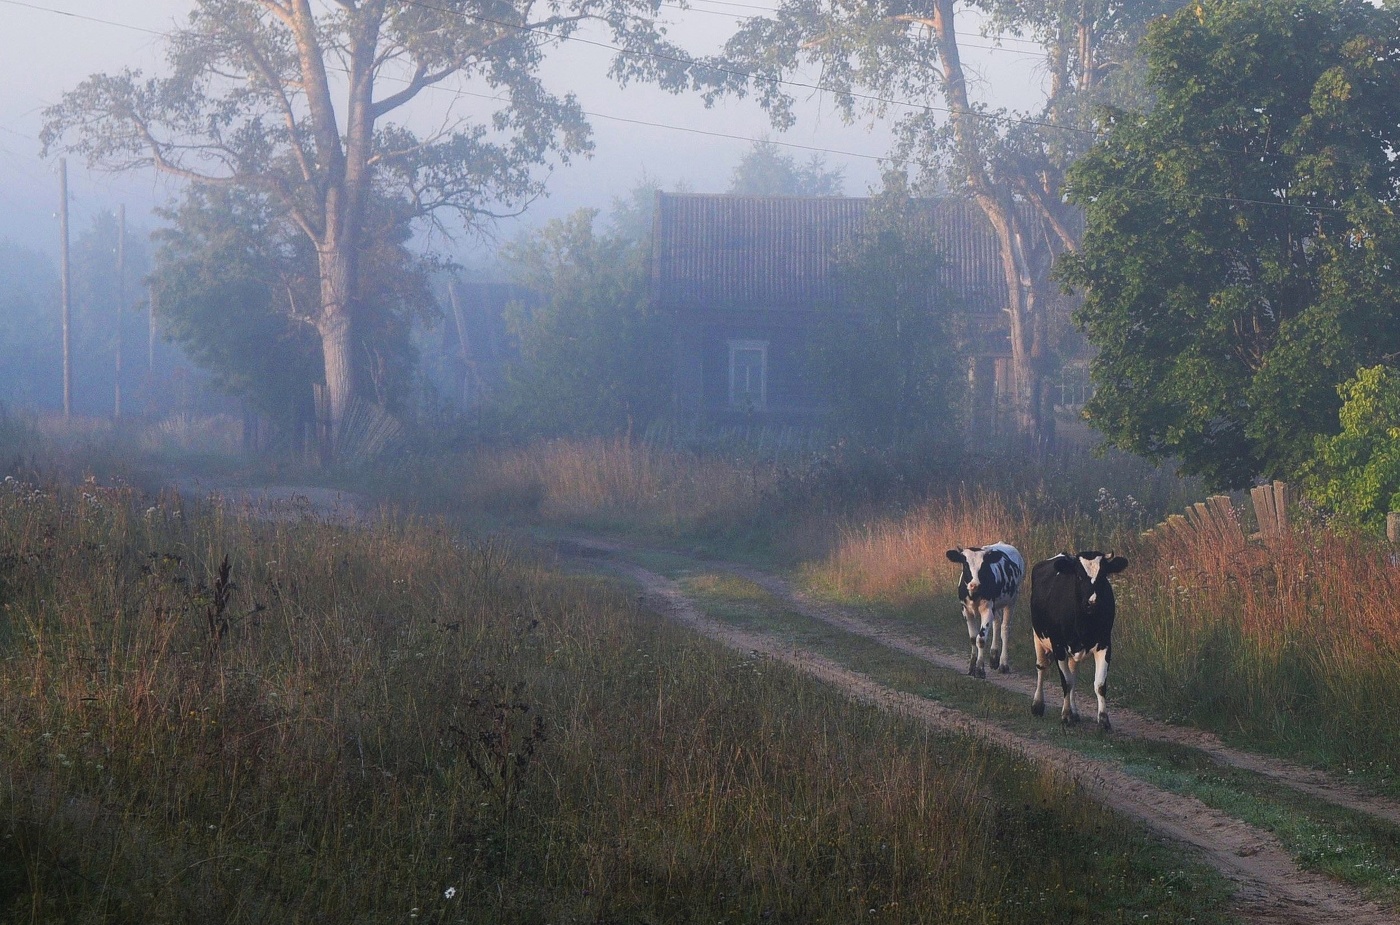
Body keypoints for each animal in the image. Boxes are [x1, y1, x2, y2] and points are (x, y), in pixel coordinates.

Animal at [946, 540, 1024, 677]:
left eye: (983, 566)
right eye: (965, 564)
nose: (974, 584)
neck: (974, 594)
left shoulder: (987, 610)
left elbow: (981, 639)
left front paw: (980, 669)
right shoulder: (966, 610)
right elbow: (973, 638)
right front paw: (972, 667)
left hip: (1012, 600)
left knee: (1005, 628)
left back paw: (1003, 664)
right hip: (996, 605)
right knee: (997, 623)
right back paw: (993, 658)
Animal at [1030, 548, 1125, 727]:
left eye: (1103, 575)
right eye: (1079, 576)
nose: (1092, 602)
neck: (1084, 625)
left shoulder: (1105, 644)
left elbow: (1099, 684)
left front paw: (1103, 719)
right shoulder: (1058, 645)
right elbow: (1066, 682)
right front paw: (1066, 715)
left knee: (1073, 674)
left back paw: (1074, 712)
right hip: (1038, 636)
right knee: (1042, 667)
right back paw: (1037, 706)